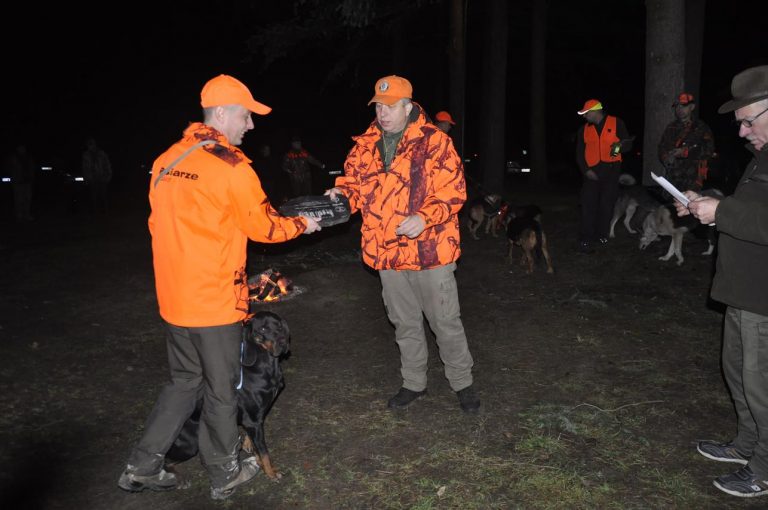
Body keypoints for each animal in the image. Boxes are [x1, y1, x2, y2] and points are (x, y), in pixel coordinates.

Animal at [165, 310, 288, 482]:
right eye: (263, 329)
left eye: (279, 325)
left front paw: (254, 454)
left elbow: (256, 446)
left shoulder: (255, 419)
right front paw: (271, 472)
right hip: (190, 444)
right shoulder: (253, 420)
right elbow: (264, 451)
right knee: (166, 460)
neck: (265, 366)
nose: (283, 342)